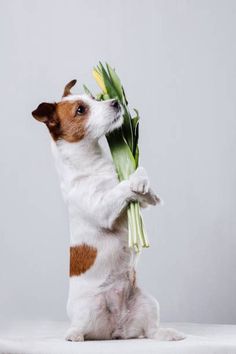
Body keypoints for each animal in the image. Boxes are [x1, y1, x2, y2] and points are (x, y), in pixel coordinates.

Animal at [31, 81, 184, 342]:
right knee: (80, 327)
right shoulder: (102, 206)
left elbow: (140, 183)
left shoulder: (138, 201)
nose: (115, 102)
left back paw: (168, 333)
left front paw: (143, 182)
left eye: (94, 99)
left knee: (151, 331)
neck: (92, 165)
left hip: (149, 302)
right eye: (80, 110)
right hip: (86, 309)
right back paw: (74, 335)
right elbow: (121, 188)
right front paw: (133, 180)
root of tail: (116, 331)